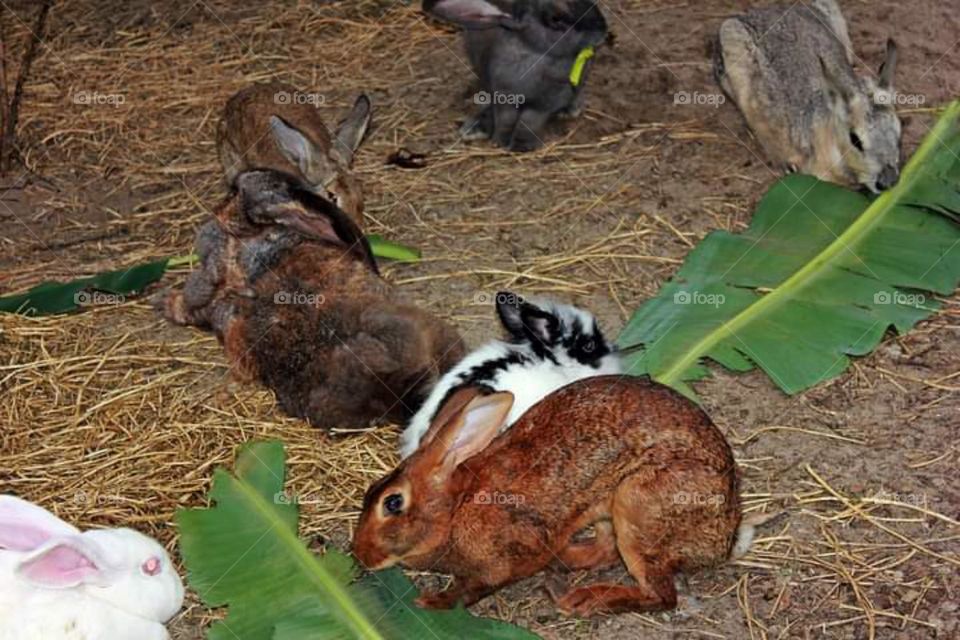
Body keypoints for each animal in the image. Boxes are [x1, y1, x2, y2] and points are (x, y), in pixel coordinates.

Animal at [355, 376, 749, 615]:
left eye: (393, 502)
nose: (361, 554)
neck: (456, 508)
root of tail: (723, 536)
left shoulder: (501, 562)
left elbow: (471, 589)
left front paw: (433, 601)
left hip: (638, 508)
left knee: (661, 595)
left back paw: (586, 598)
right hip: (608, 512)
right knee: (605, 551)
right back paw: (564, 559)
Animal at [424, 0, 607, 152]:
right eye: (556, 20)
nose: (603, 29)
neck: (535, 50)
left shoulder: (543, 105)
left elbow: (529, 122)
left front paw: (521, 146)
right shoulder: (505, 99)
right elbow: (506, 120)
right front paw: (500, 141)